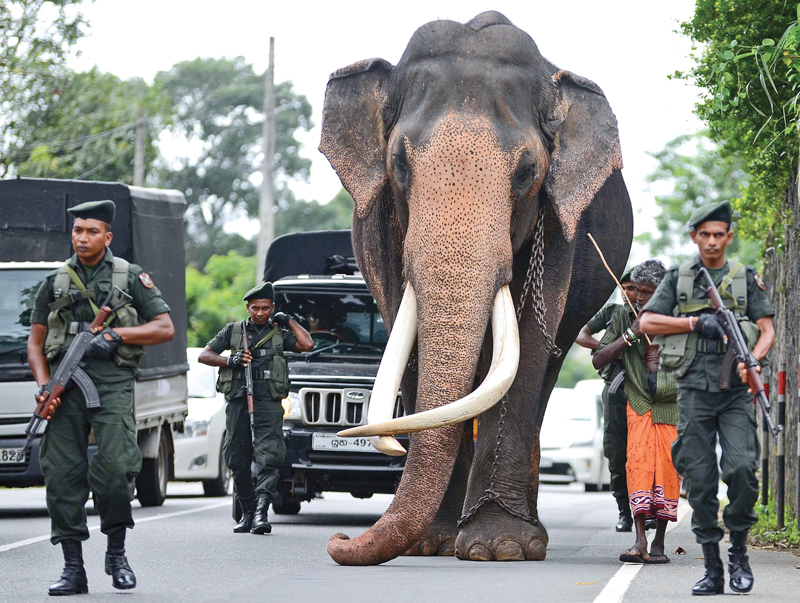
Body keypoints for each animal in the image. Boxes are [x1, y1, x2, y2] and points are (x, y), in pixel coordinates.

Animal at [318, 10, 632, 568]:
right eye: (399, 164)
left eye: (527, 172)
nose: (338, 542)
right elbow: (409, 340)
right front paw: (432, 544)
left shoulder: (561, 223)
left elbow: (530, 342)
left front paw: (500, 546)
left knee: (544, 373)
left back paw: (527, 535)